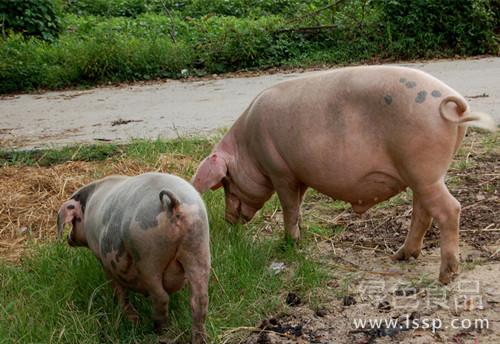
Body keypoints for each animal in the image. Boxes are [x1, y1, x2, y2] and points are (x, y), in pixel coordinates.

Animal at [192, 66, 496, 284]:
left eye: (226, 182)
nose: (228, 220)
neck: (250, 149)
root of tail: (454, 102)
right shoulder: (299, 175)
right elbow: (298, 206)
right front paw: (300, 236)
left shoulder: (280, 170)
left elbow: (288, 207)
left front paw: (289, 243)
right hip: (423, 175)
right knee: (423, 212)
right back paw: (400, 256)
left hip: (423, 169)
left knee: (450, 209)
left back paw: (445, 276)